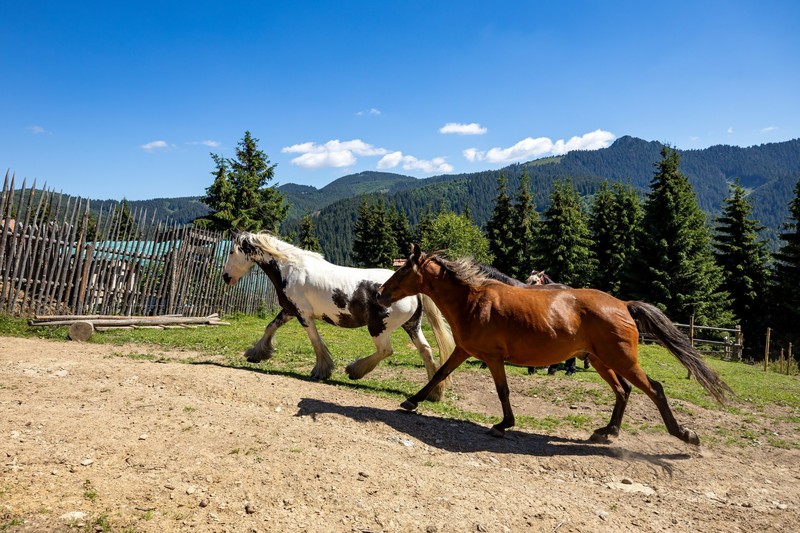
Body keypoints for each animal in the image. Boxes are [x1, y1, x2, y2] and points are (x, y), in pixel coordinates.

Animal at [220, 232, 456, 400]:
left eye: (231, 252)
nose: (225, 277)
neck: (290, 268)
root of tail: (416, 292)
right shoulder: (289, 310)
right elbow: (270, 327)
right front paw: (256, 353)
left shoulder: (303, 314)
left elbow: (316, 341)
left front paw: (321, 370)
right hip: (412, 326)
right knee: (426, 351)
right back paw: (433, 393)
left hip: (378, 328)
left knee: (386, 350)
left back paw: (355, 370)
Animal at [378, 245, 736, 444]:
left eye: (403, 271)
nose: (381, 293)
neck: (473, 300)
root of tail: (623, 304)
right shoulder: (465, 351)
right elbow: (439, 374)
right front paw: (412, 401)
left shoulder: (493, 358)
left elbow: (503, 391)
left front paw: (503, 425)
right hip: (602, 361)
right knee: (623, 392)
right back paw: (607, 432)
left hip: (622, 361)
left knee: (654, 389)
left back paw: (683, 434)